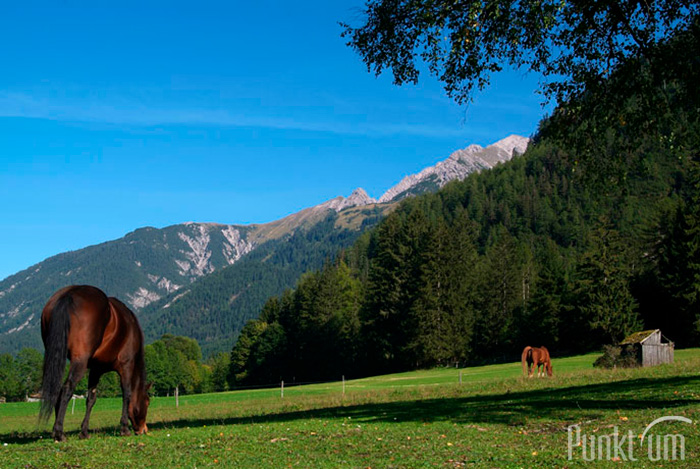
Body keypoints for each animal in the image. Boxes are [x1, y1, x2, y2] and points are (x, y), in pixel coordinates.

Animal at [40, 284, 150, 440]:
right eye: (147, 402)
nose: (142, 429)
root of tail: (69, 294)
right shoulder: (126, 365)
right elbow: (126, 393)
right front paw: (124, 428)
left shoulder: (96, 370)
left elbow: (91, 399)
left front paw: (84, 431)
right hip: (79, 361)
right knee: (67, 388)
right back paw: (59, 432)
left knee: (58, 390)